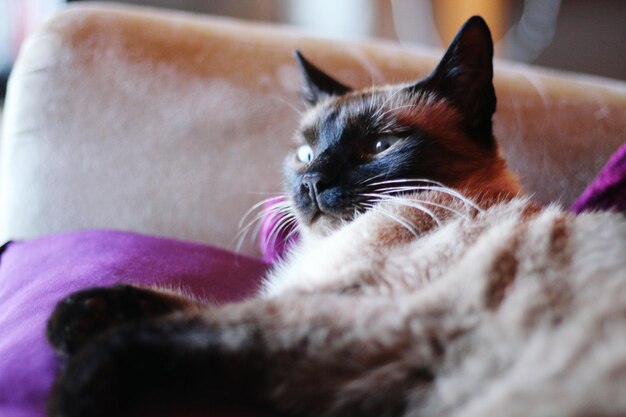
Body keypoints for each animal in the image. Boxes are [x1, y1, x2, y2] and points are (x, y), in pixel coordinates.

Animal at [45, 16, 624, 416]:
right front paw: (74, 316)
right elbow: (181, 304)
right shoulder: (310, 303)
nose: (311, 182)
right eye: (305, 153)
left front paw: (71, 389)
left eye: (378, 146)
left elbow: (172, 330)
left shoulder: (360, 319)